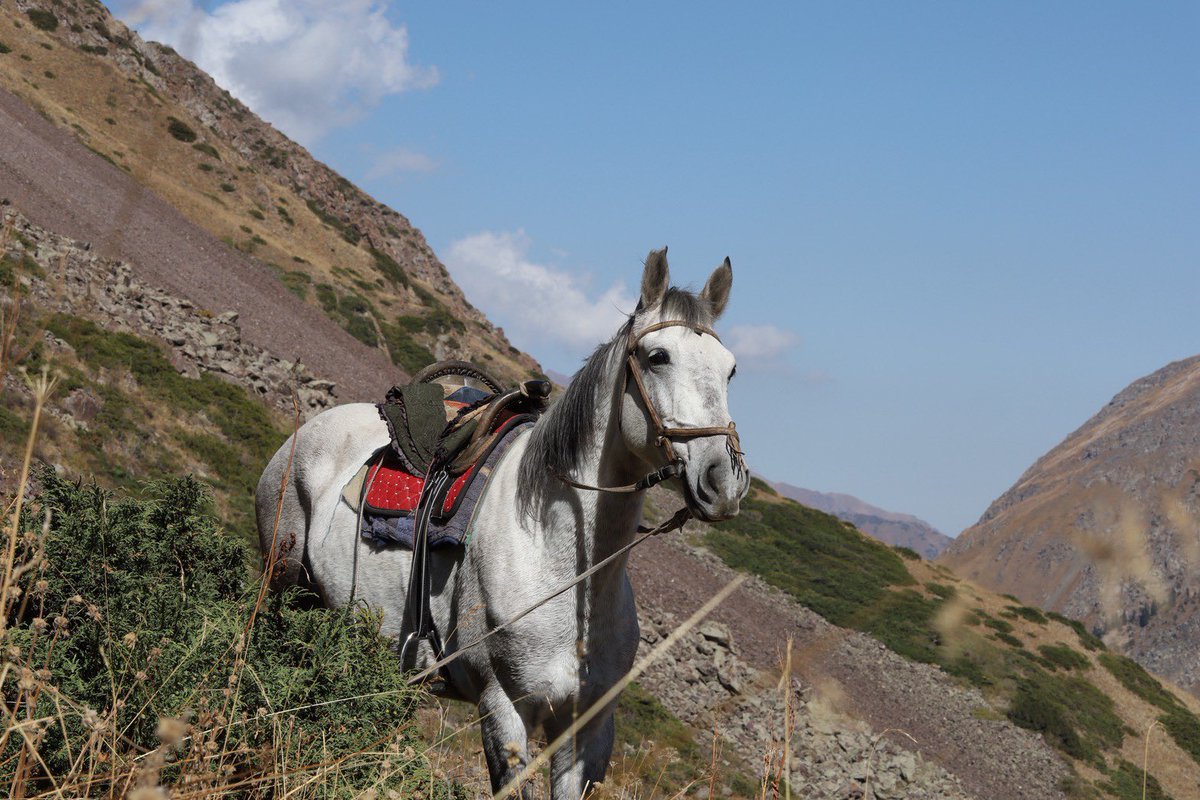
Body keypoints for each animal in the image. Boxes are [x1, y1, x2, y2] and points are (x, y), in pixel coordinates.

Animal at [255, 248, 749, 797]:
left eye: (730, 370)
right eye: (658, 356)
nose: (722, 481)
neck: (559, 567)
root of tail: (307, 430)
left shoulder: (587, 733)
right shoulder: (503, 710)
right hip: (283, 585)